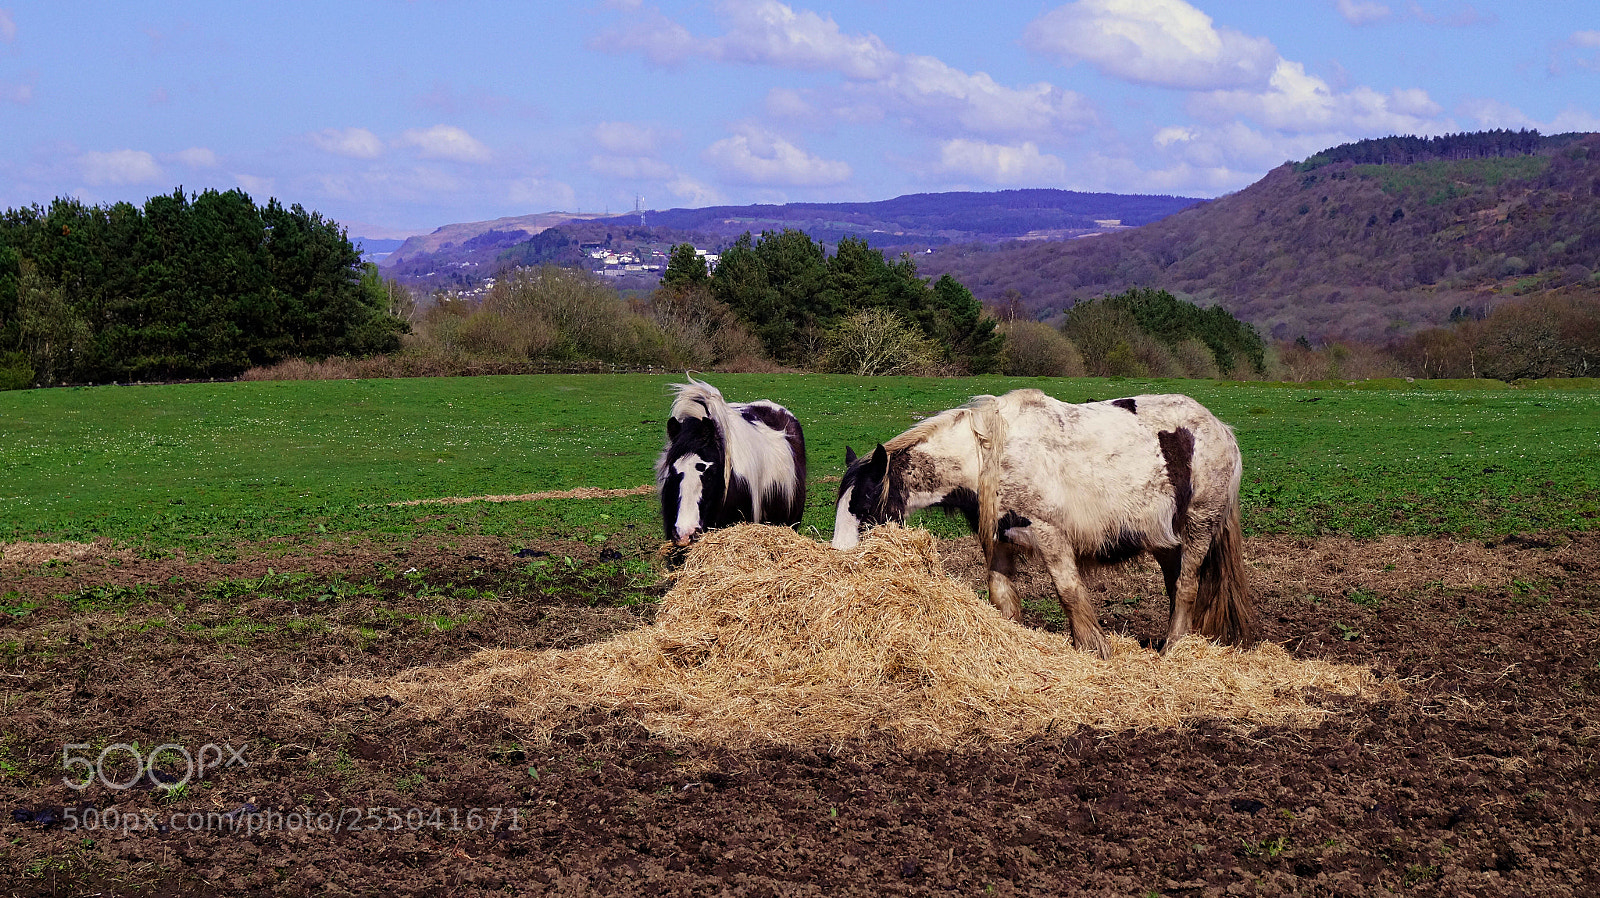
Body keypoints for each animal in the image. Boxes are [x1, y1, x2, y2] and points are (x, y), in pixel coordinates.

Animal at [830, 389, 1253, 658]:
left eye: (864, 505)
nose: (840, 561)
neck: (987, 456)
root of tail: (1221, 429)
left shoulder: (1050, 535)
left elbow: (1069, 592)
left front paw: (1093, 649)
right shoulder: (1000, 538)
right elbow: (1002, 596)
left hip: (1198, 527)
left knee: (1186, 586)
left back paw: (1175, 649)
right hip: (1166, 541)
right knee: (1175, 585)